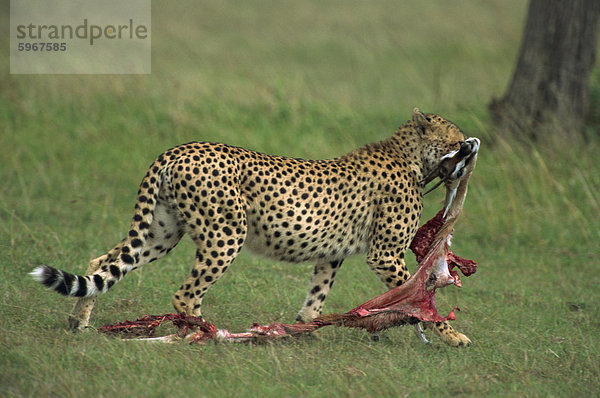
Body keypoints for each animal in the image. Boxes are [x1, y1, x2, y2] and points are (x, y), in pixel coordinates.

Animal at [31, 108, 478, 346]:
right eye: (456, 137)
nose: (471, 145)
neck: (411, 158)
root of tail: (177, 149)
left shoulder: (331, 255)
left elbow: (315, 299)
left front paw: (305, 333)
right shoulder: (384, 254)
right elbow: (424, 301)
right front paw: (453, 337)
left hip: (161, 232)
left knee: (102, 263)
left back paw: (78, 323)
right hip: (226, 235)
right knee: (185, 294)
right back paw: (205, 336)